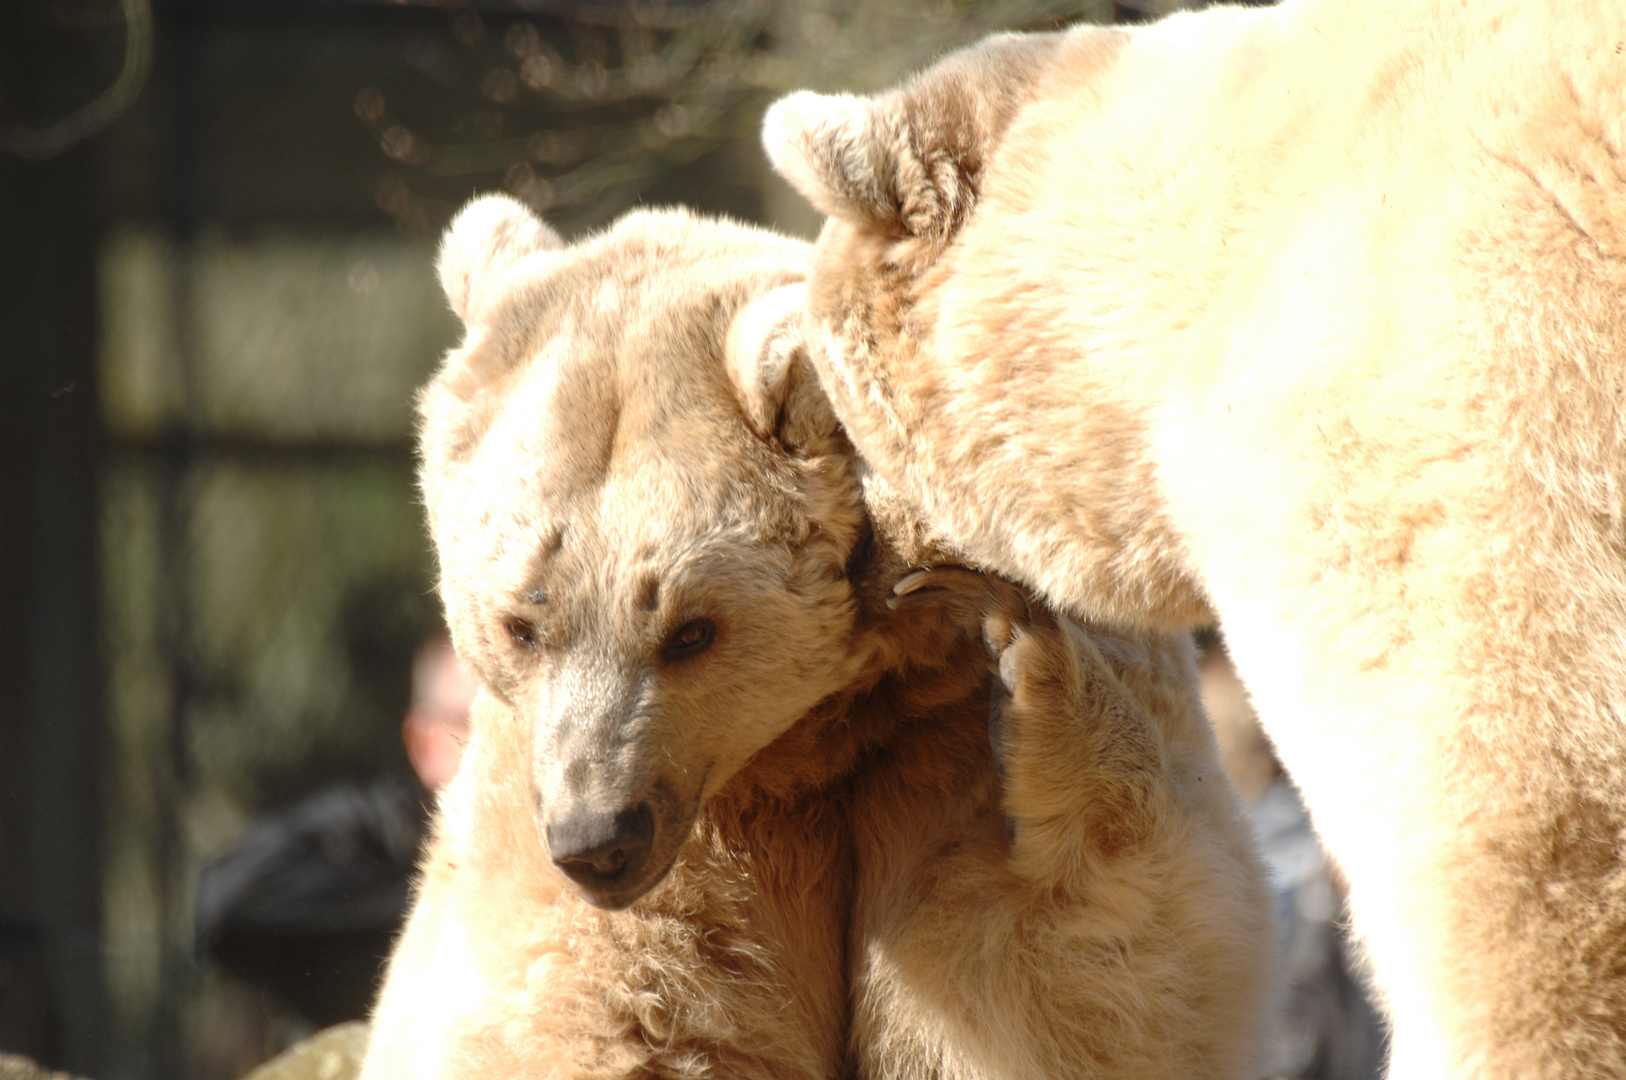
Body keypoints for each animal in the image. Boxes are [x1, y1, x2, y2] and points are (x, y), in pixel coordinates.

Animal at [362, 195, 1274, 1080]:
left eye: (690, 631)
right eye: (522, 623)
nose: (599, 840)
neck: (815, 735)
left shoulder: (930, 737)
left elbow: (1060, 976)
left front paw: (1028, 667)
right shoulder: (568, 821)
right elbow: (582, 1010)